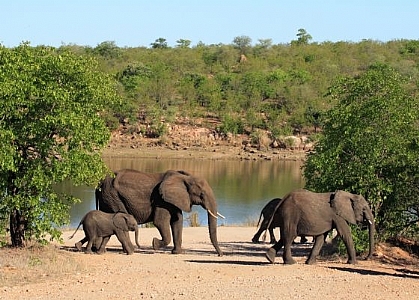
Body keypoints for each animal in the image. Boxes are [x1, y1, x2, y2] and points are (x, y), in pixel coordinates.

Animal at [96, 169, 225, 255]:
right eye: (201, 194)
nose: (220, 254)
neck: (184, 178)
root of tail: (100, 183)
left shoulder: (172, 200)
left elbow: (177, 221)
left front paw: (178, 253)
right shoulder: (160, 199)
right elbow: (160, 222)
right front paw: (154, 244)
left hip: (107, 198)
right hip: (113, 197)